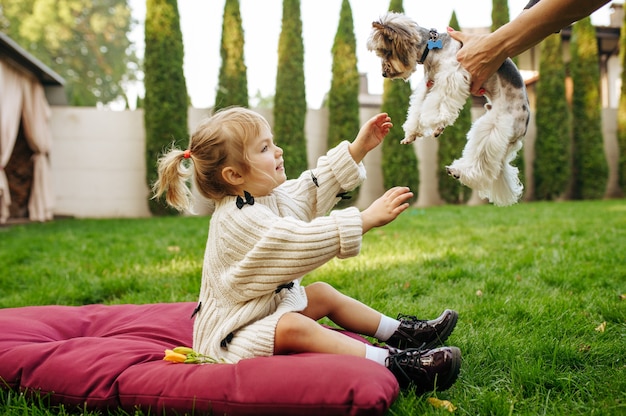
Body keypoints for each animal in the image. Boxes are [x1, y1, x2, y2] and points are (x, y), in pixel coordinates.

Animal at [368, 12, 528, 207]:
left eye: (386, 51)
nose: (384, 73)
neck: (431, 49)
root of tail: (521, 131)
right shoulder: (429, 83)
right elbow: (418, 107)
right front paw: (412, 133)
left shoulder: (452, 74)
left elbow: (439, 103)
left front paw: (437, 123)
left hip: (495, 125)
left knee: (482, 164)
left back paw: (459, 172)